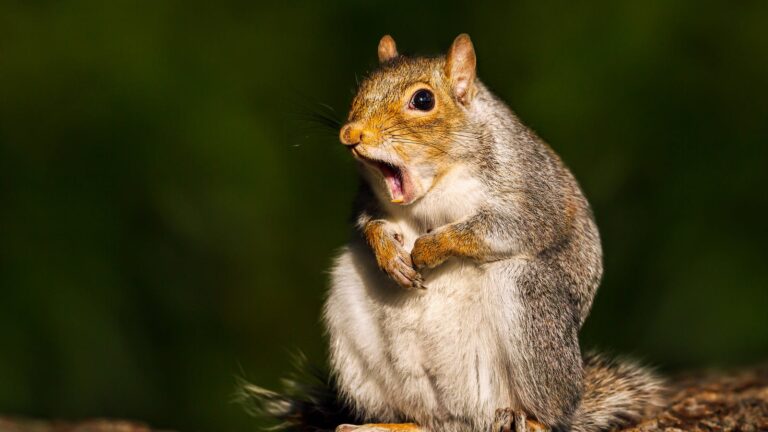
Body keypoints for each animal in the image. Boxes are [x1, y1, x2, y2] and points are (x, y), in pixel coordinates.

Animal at [243, 34, 664, 432]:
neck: (434, 184)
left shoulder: (533, 198)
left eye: (423, 99)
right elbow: (368, 223)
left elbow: (502, 228)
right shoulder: (367, 200)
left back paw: (529, 420)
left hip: (530, 303)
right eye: (361, 88)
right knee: (424, 419)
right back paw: (386, 424)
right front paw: (389, 254)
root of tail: (465, 417)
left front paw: (429, 249)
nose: (351, 133)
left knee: (554, 413)